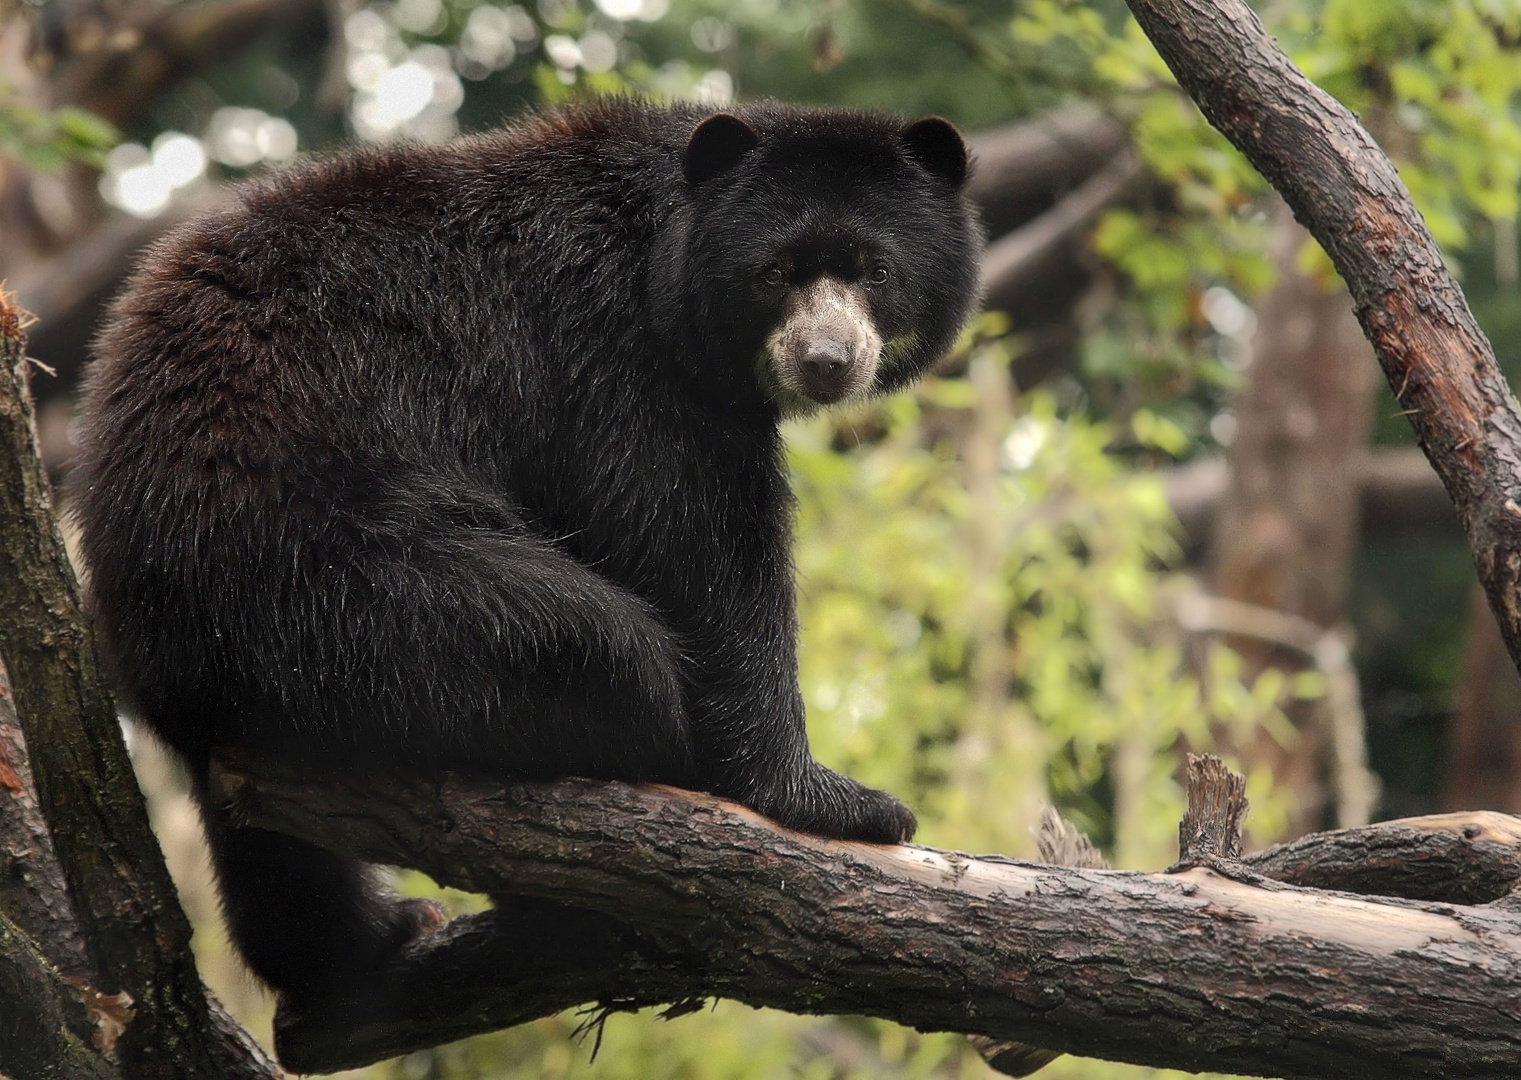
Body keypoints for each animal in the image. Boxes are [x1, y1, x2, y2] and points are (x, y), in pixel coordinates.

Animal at [74, 99, 985, 1016]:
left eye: (875, 270)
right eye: (774, 273)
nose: (827, 361)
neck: (661, 253)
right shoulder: (617, 358)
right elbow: (694, 547)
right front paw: (840, 801)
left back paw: (370, 940)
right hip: (335, 576)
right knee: (596, 645)